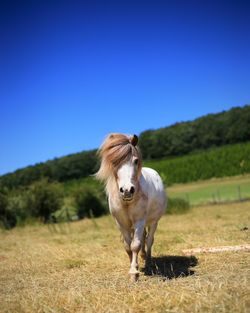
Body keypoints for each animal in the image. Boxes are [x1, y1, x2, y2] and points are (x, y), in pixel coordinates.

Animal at [96, 133, 167, 280]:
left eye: (135, 161)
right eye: (114, 162)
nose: (127, 190)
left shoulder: (140, 220)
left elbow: (135, 245)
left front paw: (134, 272)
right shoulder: (121, 223)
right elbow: (128, 247)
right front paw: (133, 266)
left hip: (153, 222)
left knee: (149, 240)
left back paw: (149, 261)